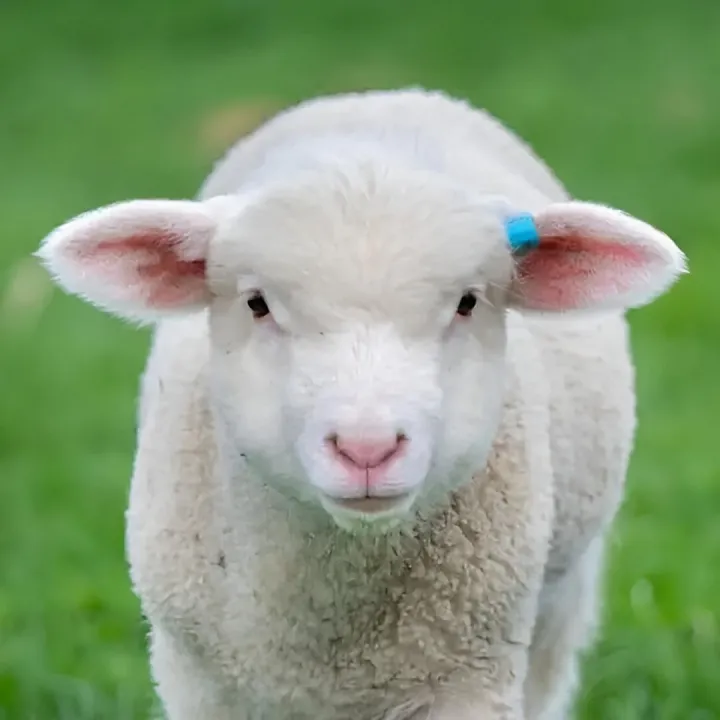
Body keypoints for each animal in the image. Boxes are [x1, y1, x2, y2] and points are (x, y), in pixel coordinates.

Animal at [36, 87, 687, 720]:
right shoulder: (197, 680)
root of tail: (384, 93)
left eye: (468, 302)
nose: (366, 448)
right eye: (256, 303)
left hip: (559, 601)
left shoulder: (470, 675)